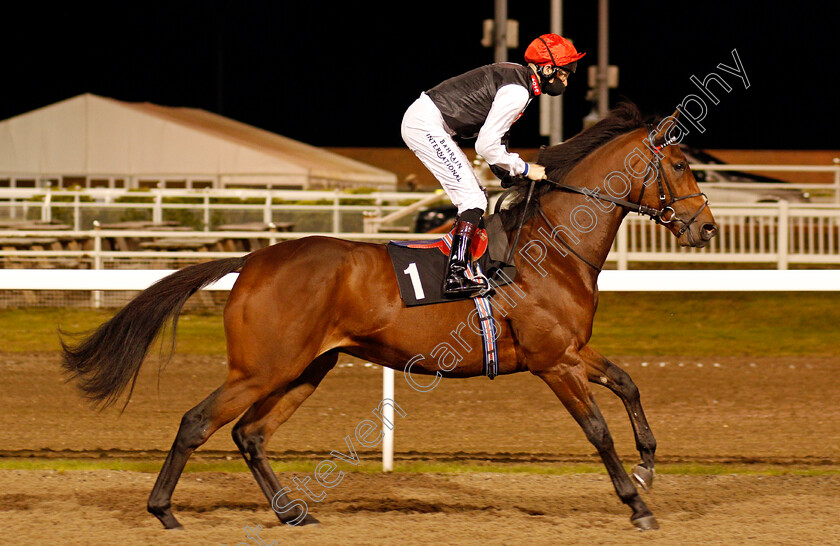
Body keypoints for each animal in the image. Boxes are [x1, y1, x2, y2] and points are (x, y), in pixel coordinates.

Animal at [60, 102, 716, 528]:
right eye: (681, 166)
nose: (707, 227)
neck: (552, 246)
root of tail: (254, 258)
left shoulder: (574, 350)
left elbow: (628, 384)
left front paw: (649, 467)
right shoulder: (554, 362)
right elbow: (597, 429)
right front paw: (637, 503)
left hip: (306, 368)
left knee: (250, 433)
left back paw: (292, 512)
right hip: (262, 367)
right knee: (198, 422)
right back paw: (164, 511)